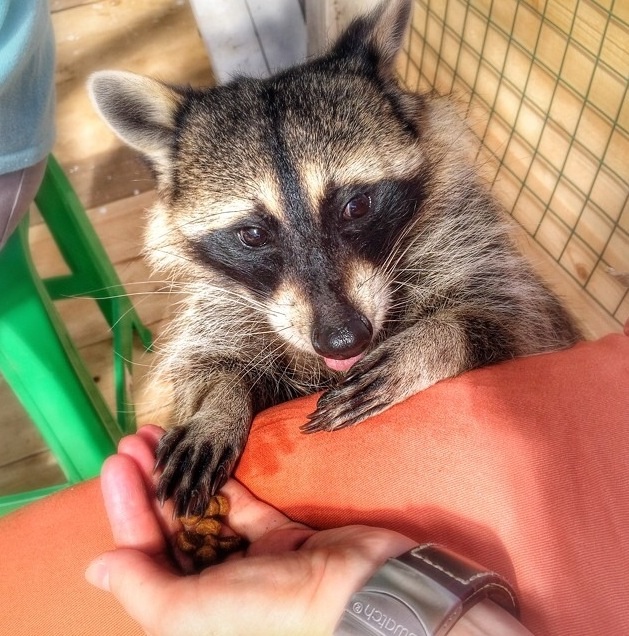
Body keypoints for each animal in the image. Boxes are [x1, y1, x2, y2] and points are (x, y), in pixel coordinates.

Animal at [88, 0, 580, 516]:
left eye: (356, 206)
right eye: (252, 234)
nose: (343, 340)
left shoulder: (472, 248)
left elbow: (521, 321)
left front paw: (436, 340)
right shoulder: (223, 308)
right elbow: (209, 360)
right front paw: (218, 403)